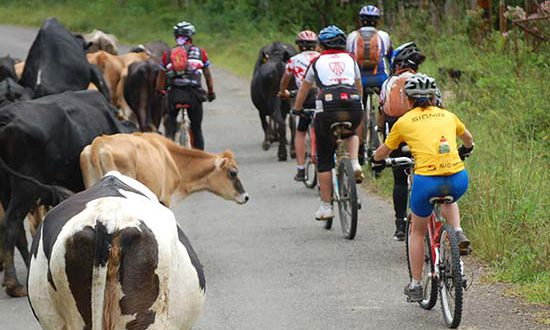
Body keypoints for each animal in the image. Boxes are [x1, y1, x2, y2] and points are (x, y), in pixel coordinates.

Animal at [0, 90, 133, 296]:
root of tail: (7, 116)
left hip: (8, 187)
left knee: (17, 229)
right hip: (26, 187)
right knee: (10, 223)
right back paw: (14, 284)